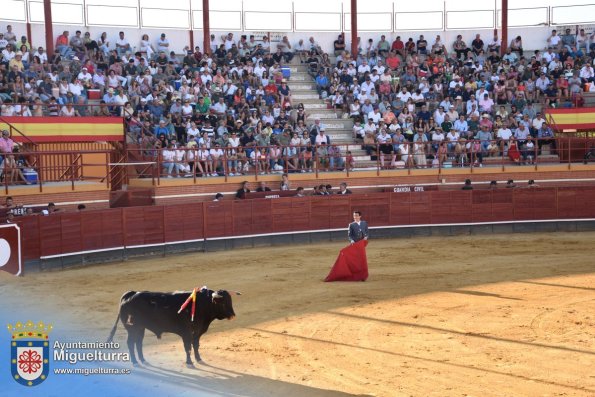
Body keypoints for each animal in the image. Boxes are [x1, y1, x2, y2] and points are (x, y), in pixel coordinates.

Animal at [108, 288, 239, 366]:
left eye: (230, 301)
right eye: (223, 302)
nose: (233, 315)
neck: (202, 304)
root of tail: (131, 293)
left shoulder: (197, 332)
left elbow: (196, 345)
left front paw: (198, 359)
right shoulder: (186, 333)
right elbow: (188, 347)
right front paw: (189, 362)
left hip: (140, 328)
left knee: (138, 342)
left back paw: (143, 360)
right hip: (132, 328)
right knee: (131, 342)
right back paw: (135, 362)